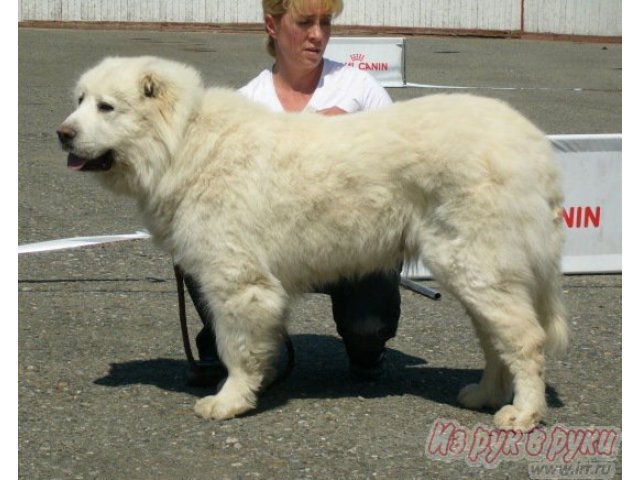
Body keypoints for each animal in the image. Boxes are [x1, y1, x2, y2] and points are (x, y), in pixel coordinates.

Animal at [57, 56, 568, 432]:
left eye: (107, 107)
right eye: (79, 100)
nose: (63, 134)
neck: (184, 141)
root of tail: (534, 145)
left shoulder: (237, 281)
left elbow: (234, 347)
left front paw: (230, 401)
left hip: (476, 265)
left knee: (526, 340)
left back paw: (523, 413)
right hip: (478, 272)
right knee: (496, 338)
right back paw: (485, 395)